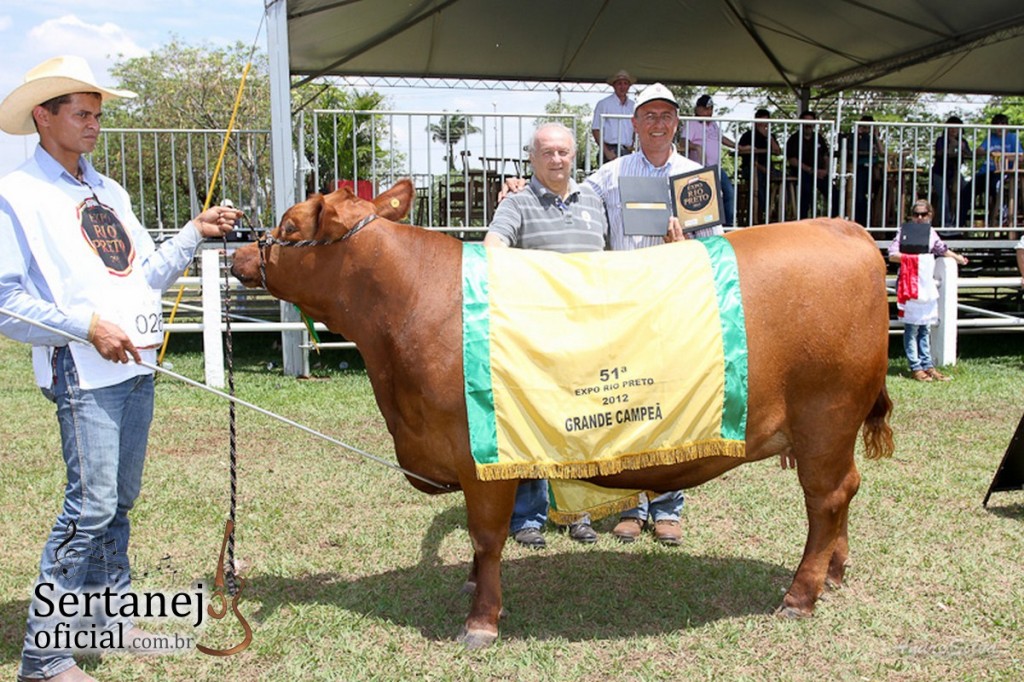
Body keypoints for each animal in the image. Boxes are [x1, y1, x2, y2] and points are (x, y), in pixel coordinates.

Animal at [230, 180, 888, 647]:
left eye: (289, 226)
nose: (238, 253)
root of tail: (843, 227)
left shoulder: (479, 455)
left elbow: (487, 536)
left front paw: (481, 620)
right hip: (832, 428)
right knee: (845, 492)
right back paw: (835, 572)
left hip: (826, 415)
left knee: (826, 498)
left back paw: (800, 595)